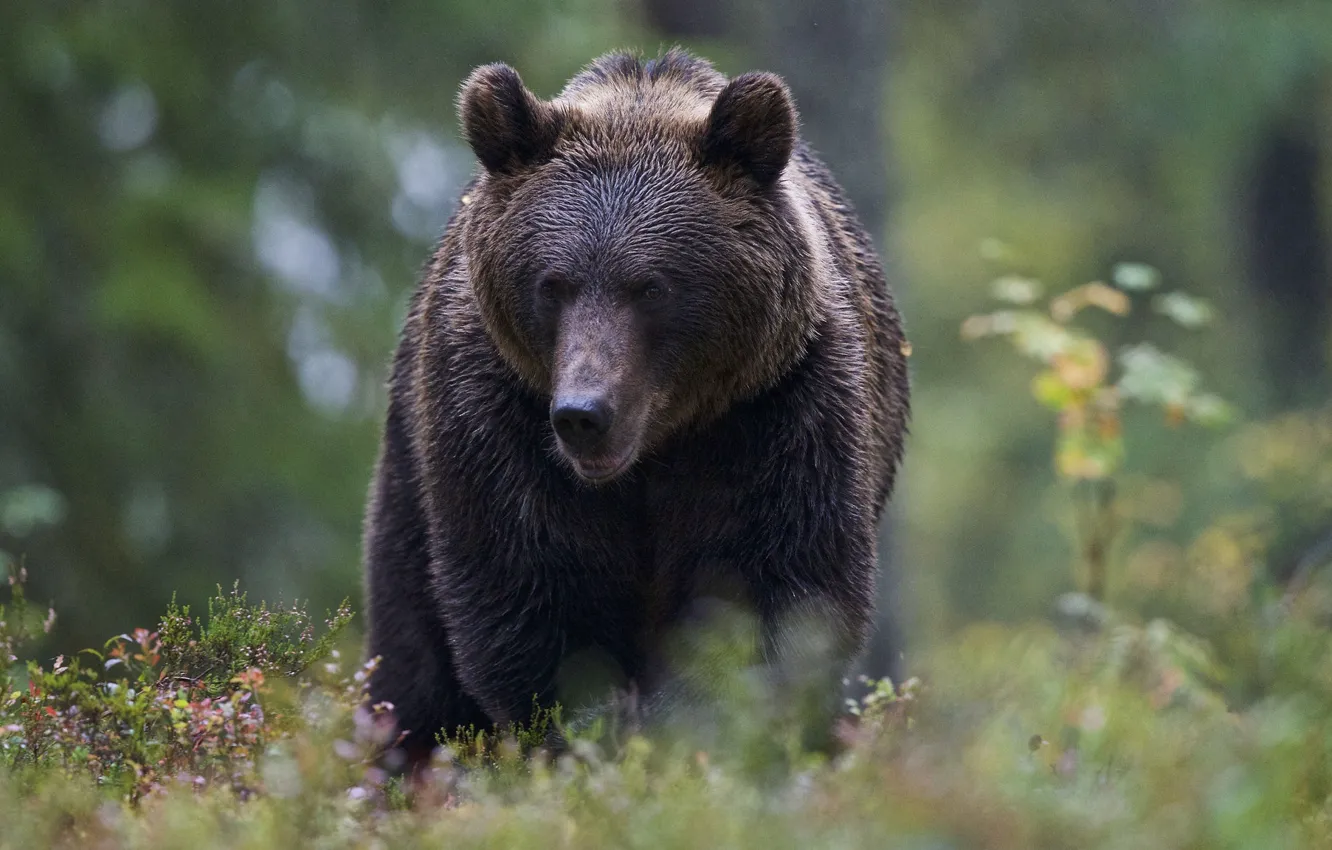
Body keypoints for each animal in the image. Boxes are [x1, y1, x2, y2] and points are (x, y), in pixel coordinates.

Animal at [362, 48, 910, 765]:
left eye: (650, 287)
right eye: (552, 284)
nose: (583, 414)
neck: (655, 450)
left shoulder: (779, 413)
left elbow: (771, 594)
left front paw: (691, 738)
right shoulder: (496, 416)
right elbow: (537, 598)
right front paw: (593, 739)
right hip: (411, 473)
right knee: (413, 657)